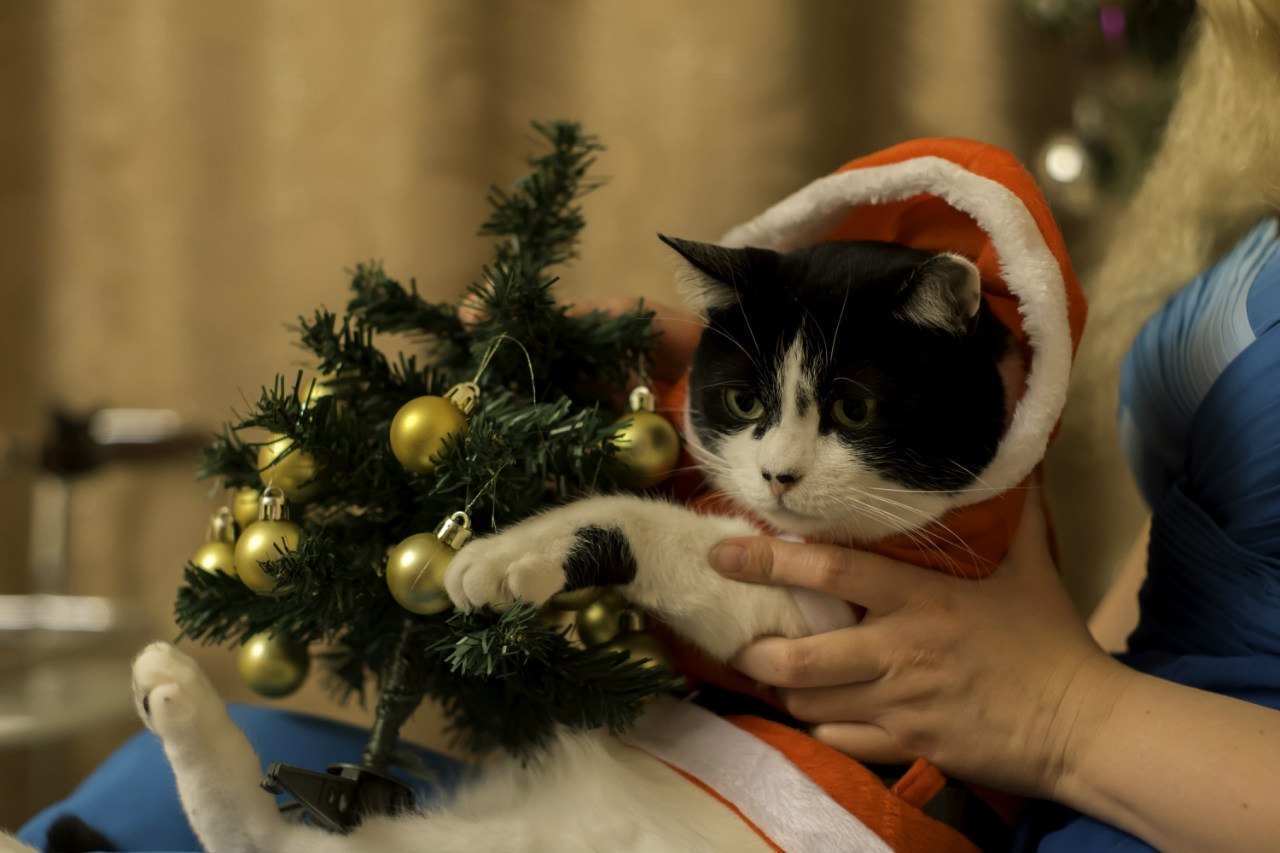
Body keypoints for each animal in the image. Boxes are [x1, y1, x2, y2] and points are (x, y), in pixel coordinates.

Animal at [5, 235, 1013, 850]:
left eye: (855, 408)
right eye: (743, 399)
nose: (781, 476)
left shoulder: (829, 618)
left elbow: (660, 529)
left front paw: (499, 554)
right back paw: (167, 694)